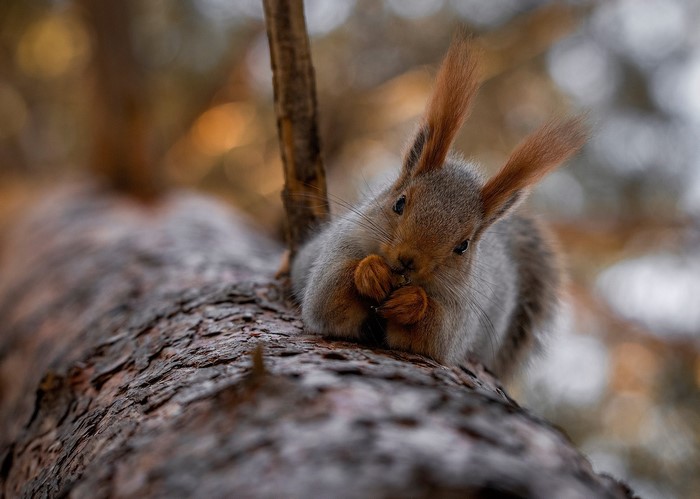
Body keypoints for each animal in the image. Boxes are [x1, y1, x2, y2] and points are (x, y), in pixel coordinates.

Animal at [290, 33, 587, 381]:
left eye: (463, 246)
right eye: (399, 203)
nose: (408, 261)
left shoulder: (460, 311)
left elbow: (435, 335)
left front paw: (411, 302)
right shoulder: (340, 248)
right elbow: (328, 297)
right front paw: (371, 272)